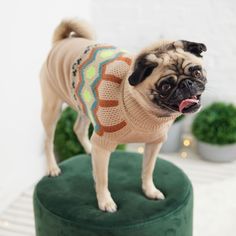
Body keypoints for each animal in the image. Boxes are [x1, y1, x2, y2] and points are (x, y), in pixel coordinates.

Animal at [40, 18, 206, 212]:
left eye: (197, 72)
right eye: (165, 86)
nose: (187, 84)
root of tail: (62, 41)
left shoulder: (154, 143)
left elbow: (148, 170)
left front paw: (149, 190)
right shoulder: (103, 144)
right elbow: (102, 179)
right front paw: (105, 202)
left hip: (84, 106)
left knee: (78, 129)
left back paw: (88, 150)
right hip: (52, 108)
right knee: (48, 141)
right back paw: (53, 168)